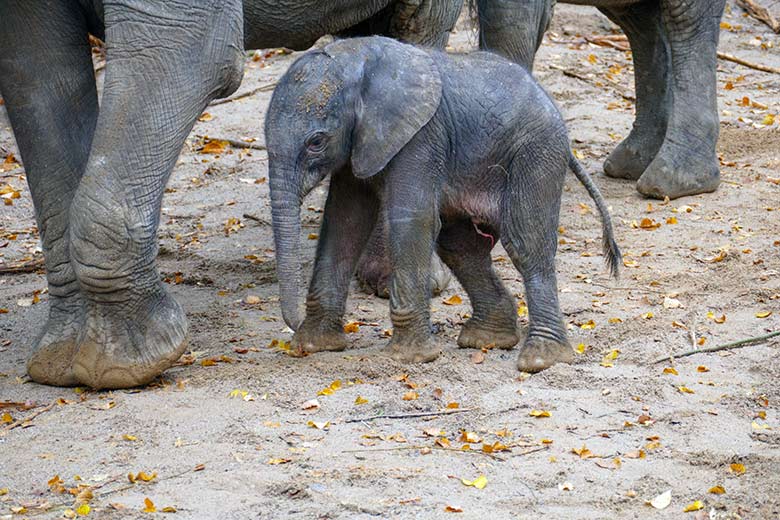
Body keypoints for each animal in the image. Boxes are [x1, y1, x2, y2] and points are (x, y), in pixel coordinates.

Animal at [266, 36, 620, 372]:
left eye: (316, 142)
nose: (293, 327)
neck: (357, 57)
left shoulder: (421, 137)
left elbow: (411, 220)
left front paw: (408, 358)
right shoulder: (362, 143)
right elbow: (344, 222)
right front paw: (315, 345)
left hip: (537, 152)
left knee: (525, 244)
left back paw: (542, 360)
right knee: (461, 246)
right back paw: (487, 340)